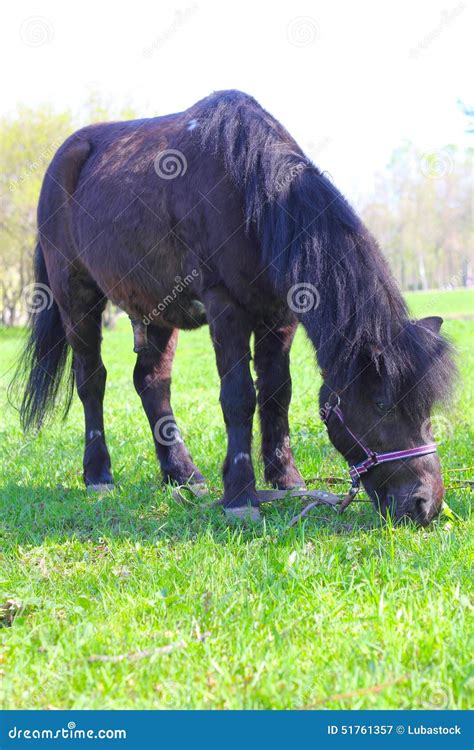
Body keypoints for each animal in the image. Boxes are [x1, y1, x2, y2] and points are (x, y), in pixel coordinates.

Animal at [12, 91, 456, 524]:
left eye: (426, 405)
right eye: (381, 404)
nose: (425, 505)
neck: (253, 194)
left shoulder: (281, 315)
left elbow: (277, 392)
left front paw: (286, 479)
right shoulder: (225, 306)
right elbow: (239, 396)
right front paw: (241, 496)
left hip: (157, 309)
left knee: (151, 382)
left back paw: (183, 474)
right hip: (75, 296)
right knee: (92, 380)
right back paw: (99, 475)